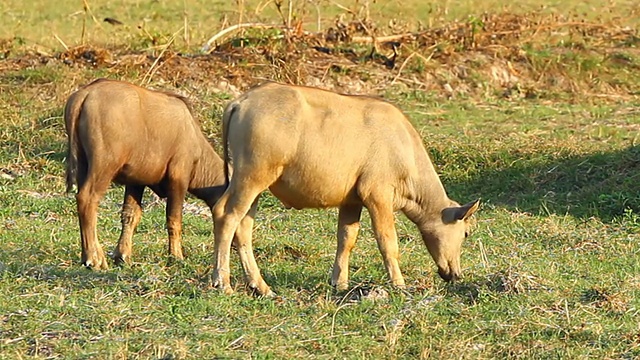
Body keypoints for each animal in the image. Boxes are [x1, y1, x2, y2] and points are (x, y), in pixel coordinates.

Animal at [66, 79, 226, 270]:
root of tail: (85, 93)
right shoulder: (178, 179)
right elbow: (174, 219)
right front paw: (176, 256)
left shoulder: (136, 182)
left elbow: (130, 215)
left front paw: (123, 255)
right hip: (103, 167)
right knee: (87, 200)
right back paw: (94, 258)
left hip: (83, 165)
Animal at [212, 81, 478, 296]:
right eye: (465, 233)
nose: (455, 274)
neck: (404, 148)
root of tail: (241, 101)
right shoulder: (378, 196)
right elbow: (387, 241)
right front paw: (399, 283)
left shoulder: (352, 202)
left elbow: (346, 239)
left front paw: (339, 282)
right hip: (252, 177)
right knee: (226, 215)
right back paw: (222, 282)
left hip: (253, 184)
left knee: (243, 226)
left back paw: (260, 285)